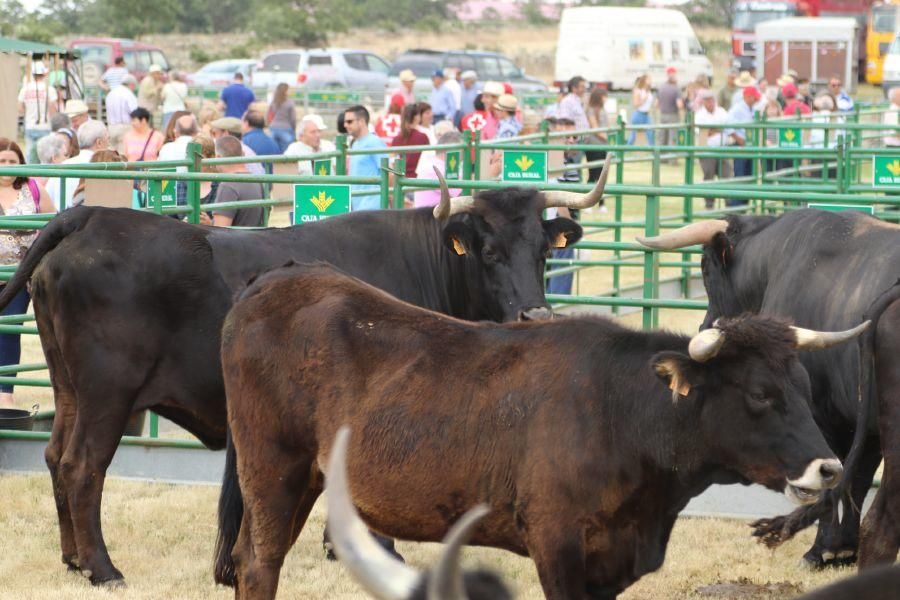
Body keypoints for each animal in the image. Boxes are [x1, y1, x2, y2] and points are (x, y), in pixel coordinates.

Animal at [0, 162, 612, 584]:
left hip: (68, 387)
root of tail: (91, 216)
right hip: (108, 391)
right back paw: (103, 568)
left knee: (54, 456)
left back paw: (72, 559)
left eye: (543, 249)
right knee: (82, 466)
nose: (534, 315)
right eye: (486, 251)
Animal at [216, 262, 864, 600]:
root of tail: (277, 281)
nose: (830, 467)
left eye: (802, 387)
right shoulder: (557, 544)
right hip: (272, 469)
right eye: (760, 394)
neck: (618, 410)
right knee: (259, 562)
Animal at [636, 209, 900, 568]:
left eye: (704, 267)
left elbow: (833, 476)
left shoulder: (821, 416)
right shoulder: (863, 418)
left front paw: (823, 549)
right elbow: (855, 479)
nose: (704, 327)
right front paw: (842, 548)